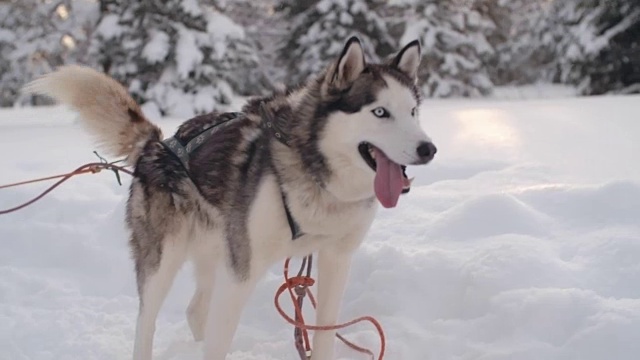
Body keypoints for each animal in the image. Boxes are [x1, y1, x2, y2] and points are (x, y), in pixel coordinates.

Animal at [25, 37, 436, 360]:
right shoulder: (242, 272)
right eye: (380, 112)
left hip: (217, 253)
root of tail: (157, 144)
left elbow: (323, 335)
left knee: (196, 312)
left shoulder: (336, 259)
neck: (315, 172)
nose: (428, 148)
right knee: (147, 322)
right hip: (165, 260)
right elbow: (217, 340)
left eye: (414, 111)